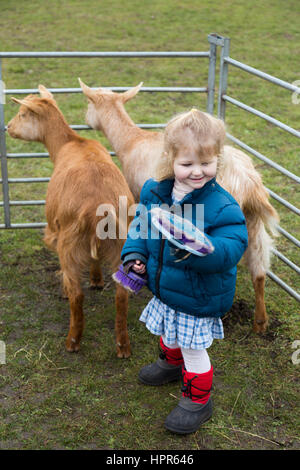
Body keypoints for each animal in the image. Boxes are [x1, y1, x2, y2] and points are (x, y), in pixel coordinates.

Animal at [7, 85, 134, 356]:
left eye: (22, 114)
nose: (8, 127)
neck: (71, 143)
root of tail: (98, 209)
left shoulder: (55, 230)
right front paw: (96, 280)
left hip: (69, 243)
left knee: (77, 294)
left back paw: (73, 341)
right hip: (121, 243)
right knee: (121, 294)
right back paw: (122, 346)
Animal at [79, 79, 278, 332]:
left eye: (88, 103)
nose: (86, 121)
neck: (131, 140)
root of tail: (249, 180)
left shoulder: (135, 192)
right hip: (253, 221)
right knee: (260, 270)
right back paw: (260, 322)